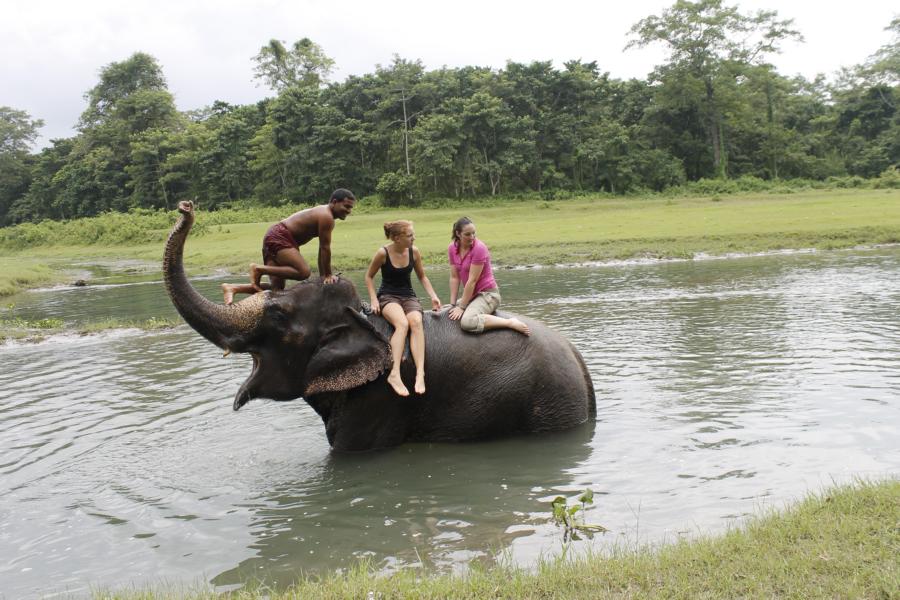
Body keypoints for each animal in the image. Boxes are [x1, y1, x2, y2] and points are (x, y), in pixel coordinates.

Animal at [164, 201, 596, 451]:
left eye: (279, 318)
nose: (185, 207)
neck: (361, 319)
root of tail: (579, 362)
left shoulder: (377, 399)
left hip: (550, 405)